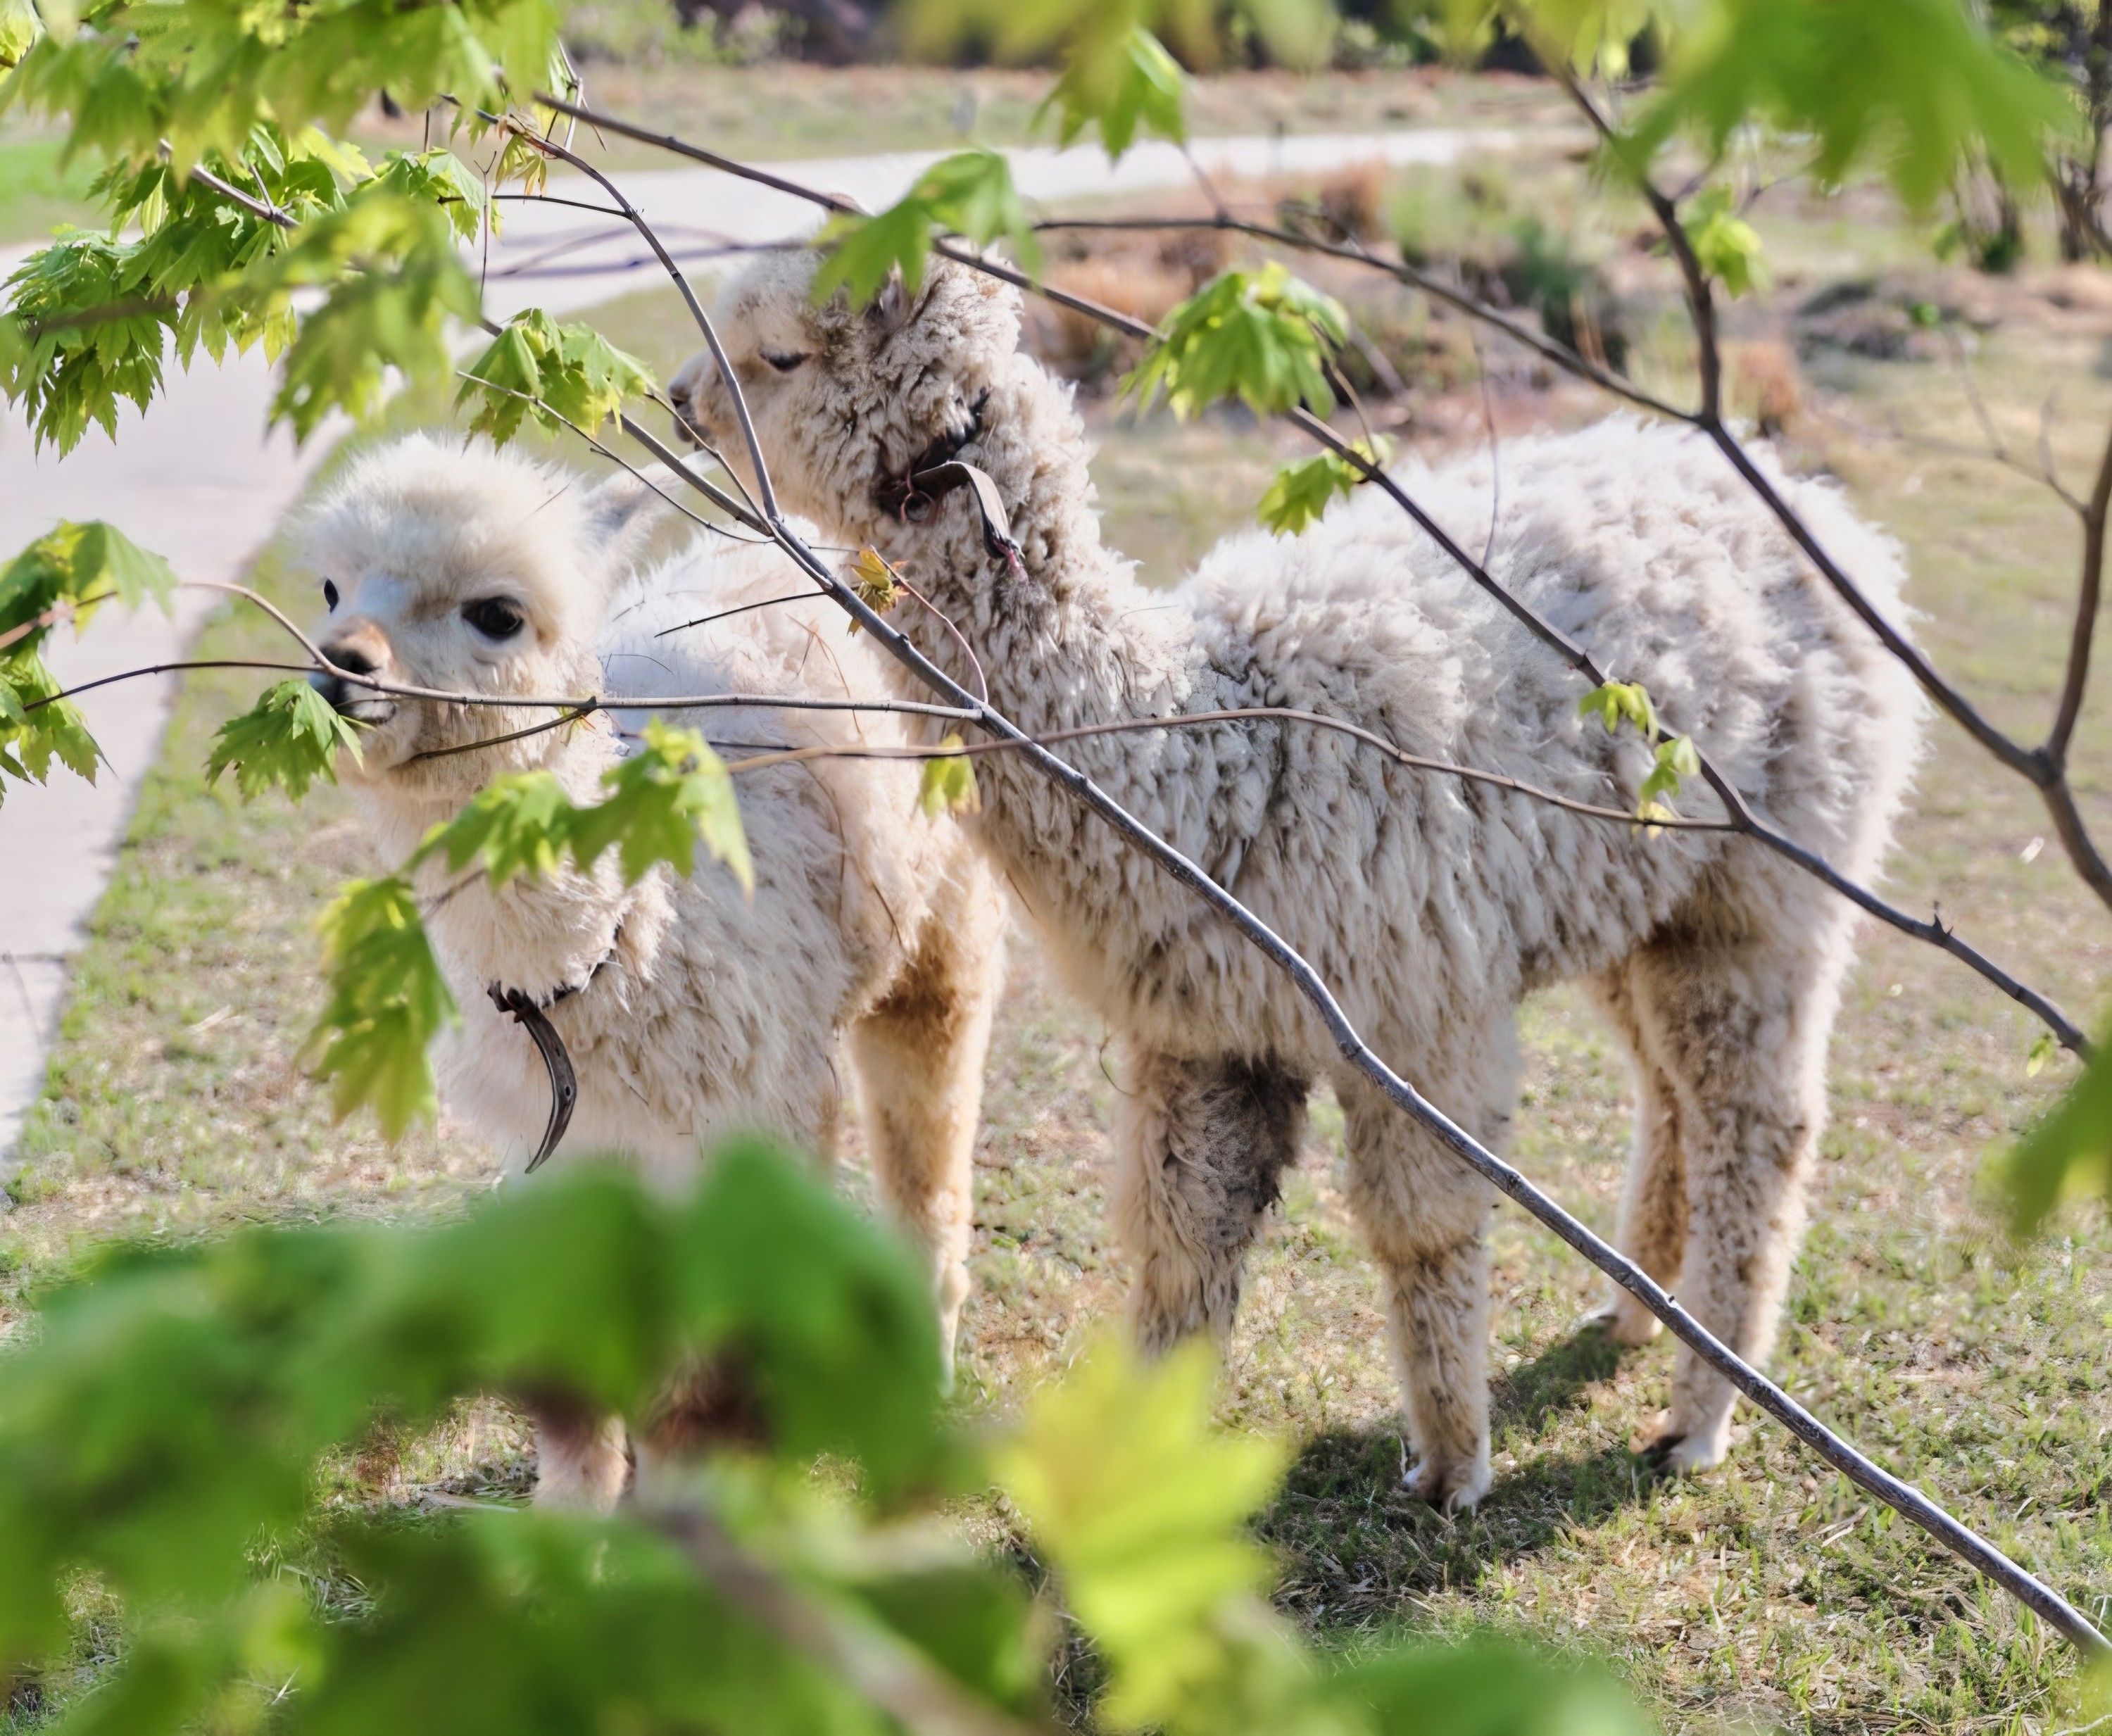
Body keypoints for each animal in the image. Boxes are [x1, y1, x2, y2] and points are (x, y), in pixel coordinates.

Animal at [300, 432, 1006, 1508]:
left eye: (498, 613)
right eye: (332, 587)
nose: (340, 666)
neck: (600, 972)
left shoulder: (749, 1121)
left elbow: (702, 1374)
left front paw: (690, 1511)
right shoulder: (564, 1142)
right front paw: (573, 1519)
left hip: (943, 918)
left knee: (930, 1161)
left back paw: (927, 1372)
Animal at [669, 253, 1925, 1508]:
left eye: (779, 353)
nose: (681, 397)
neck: (1210, 757)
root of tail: (1831, 519)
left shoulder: (1418, 1003)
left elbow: (1423, 1228)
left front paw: (1452, 1466)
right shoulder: (1208, 1026)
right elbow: (1184, 1244)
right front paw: (1137, 1474)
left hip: (1768, 887)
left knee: (1759, 1124)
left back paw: (1699, 1418)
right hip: (1639, 897)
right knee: (1670, 1093)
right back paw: (1632, 1317)